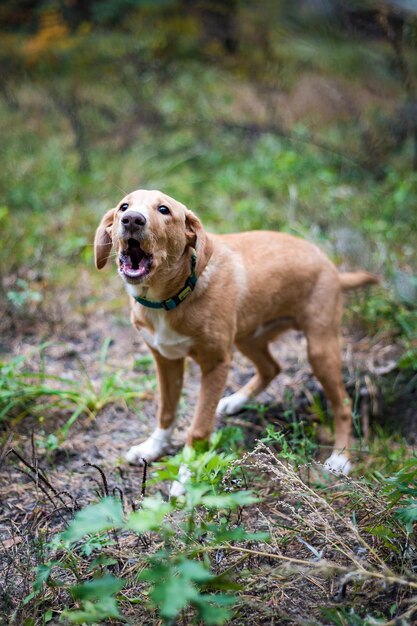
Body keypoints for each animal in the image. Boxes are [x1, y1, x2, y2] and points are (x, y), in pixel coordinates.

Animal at [94, 188, 376, 490]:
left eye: (164, 210)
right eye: (124, 207)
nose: (132, 220)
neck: (171, 298)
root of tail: (332, 267)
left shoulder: (216, 364)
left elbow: (198, 429)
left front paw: (186, 478)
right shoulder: (165, 359)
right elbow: (166, 412)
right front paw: (152, 447)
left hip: (319, 348)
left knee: (342, 404)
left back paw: (341, 458)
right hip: (247, 336)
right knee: (271, 368)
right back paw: (235, 400)